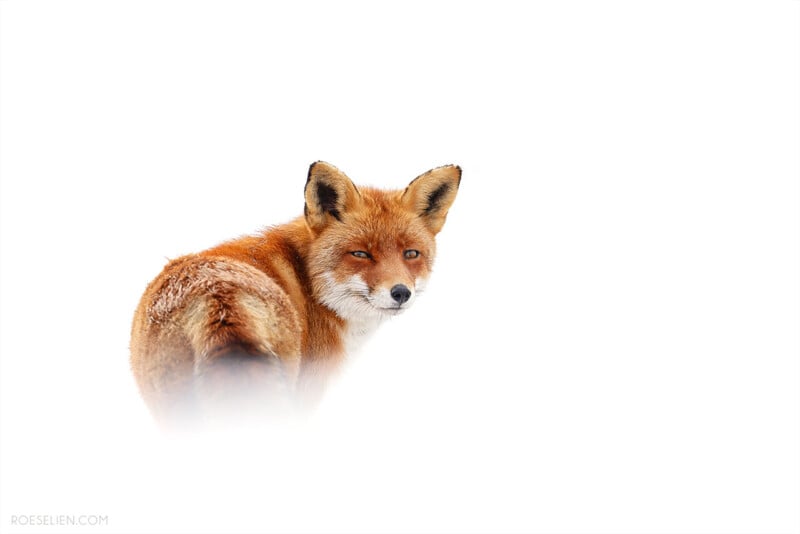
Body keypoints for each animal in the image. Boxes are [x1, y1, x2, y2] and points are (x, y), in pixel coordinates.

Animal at [130, 161, 461, 426]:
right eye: (360, 254)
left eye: (411, 253)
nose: (401, 293)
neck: (310, 282)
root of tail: (218, 295)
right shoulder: (308, 390)